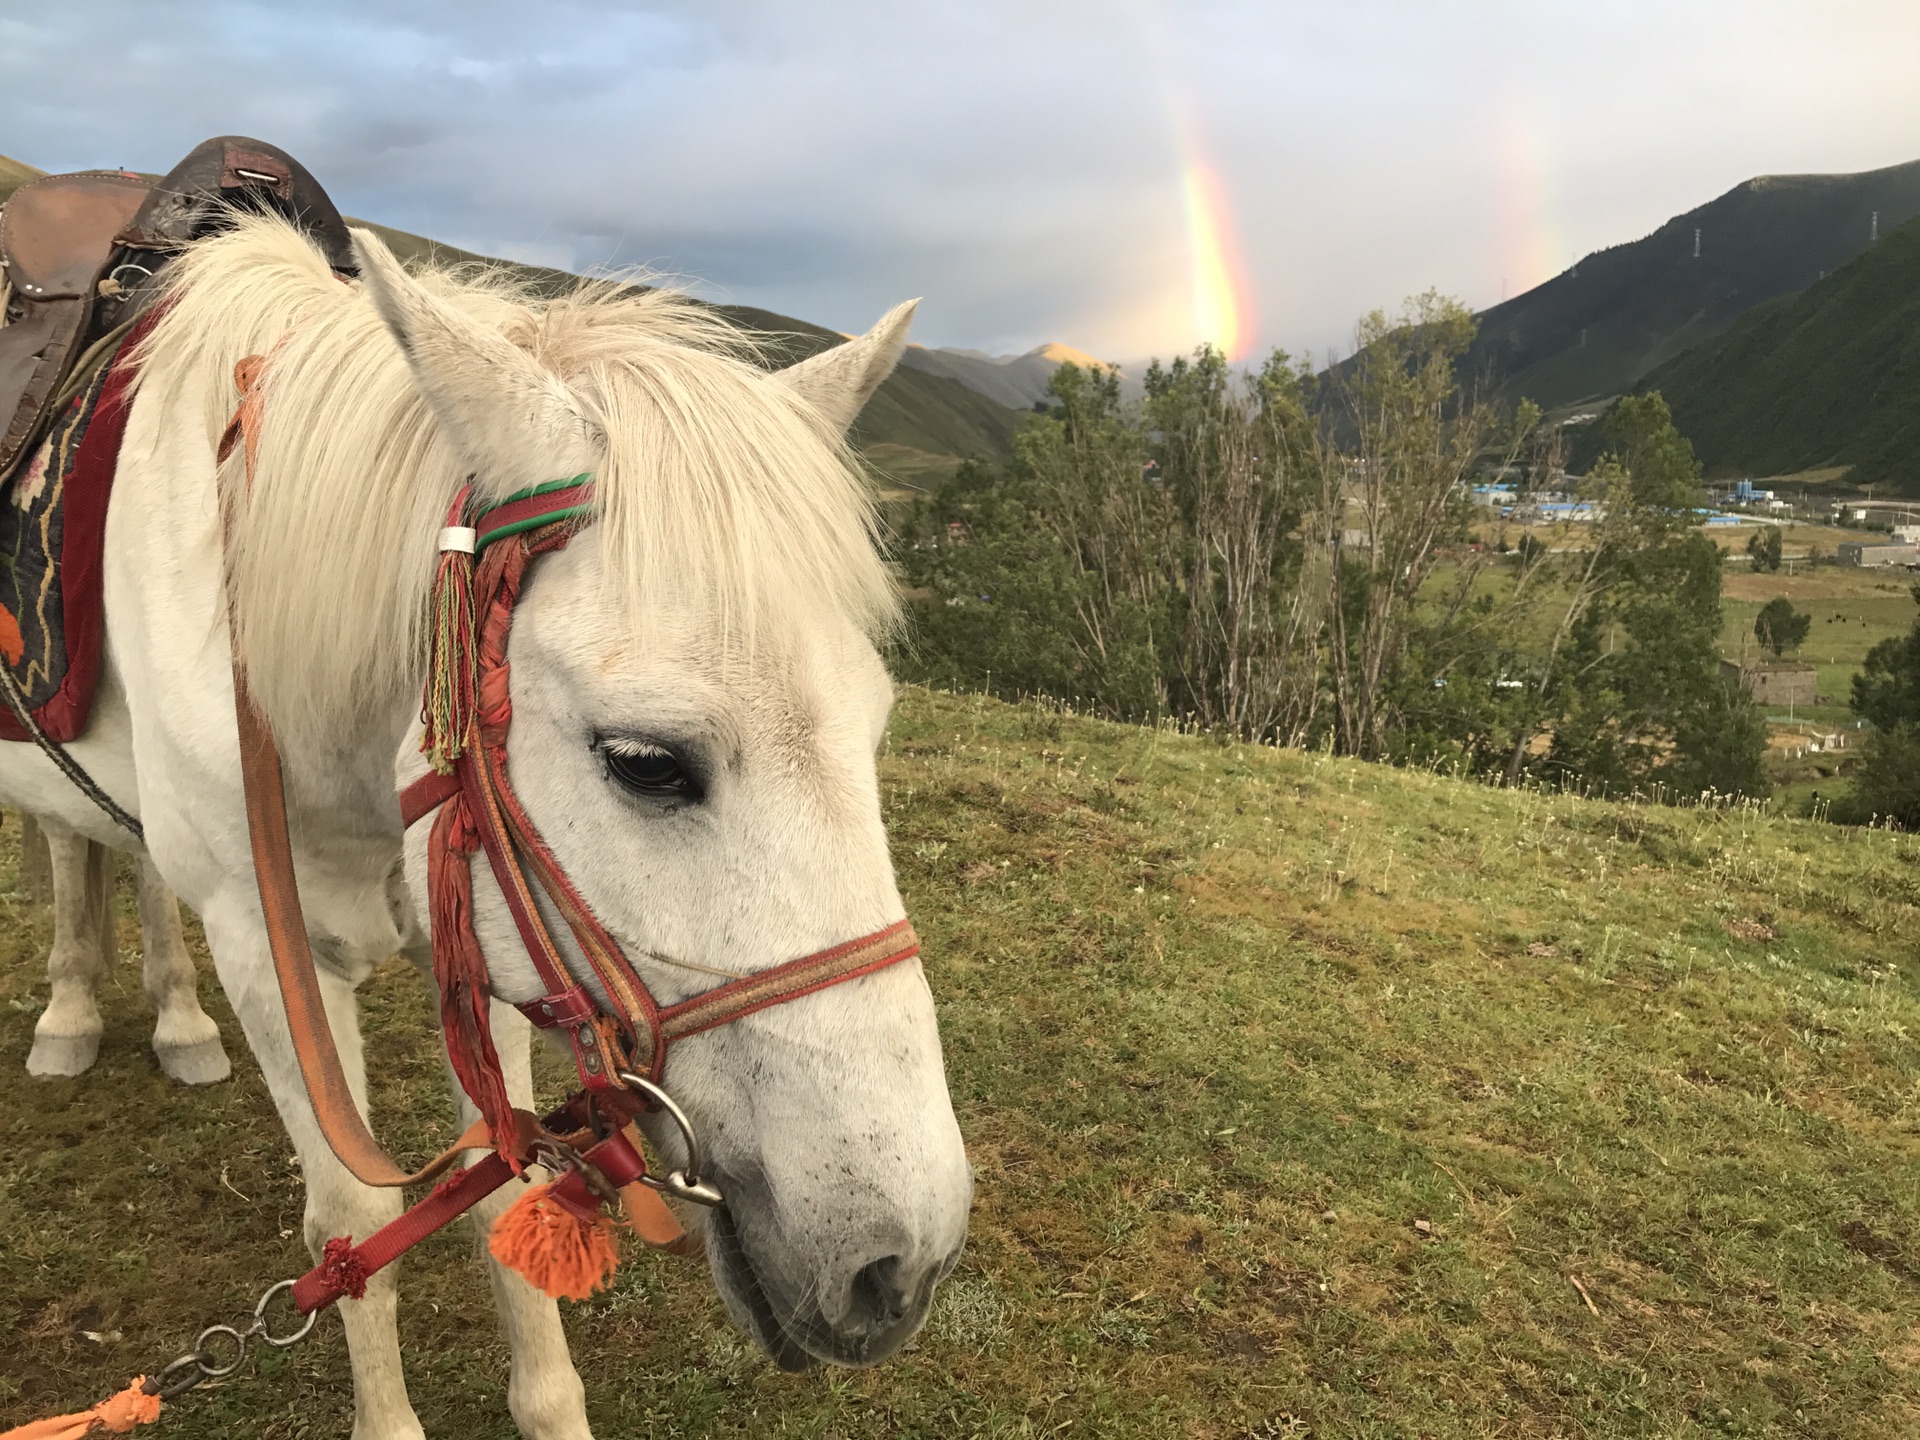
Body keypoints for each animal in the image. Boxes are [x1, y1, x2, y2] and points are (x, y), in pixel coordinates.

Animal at [0, 216, 960, 1440]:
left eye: (874, 727)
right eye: (645, 763)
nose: (900, 1267)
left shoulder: (492, 922)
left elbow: (509, 1194)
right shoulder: (268, 948)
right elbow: (354, 1235)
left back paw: (173, 1020)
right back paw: (73, 1012)